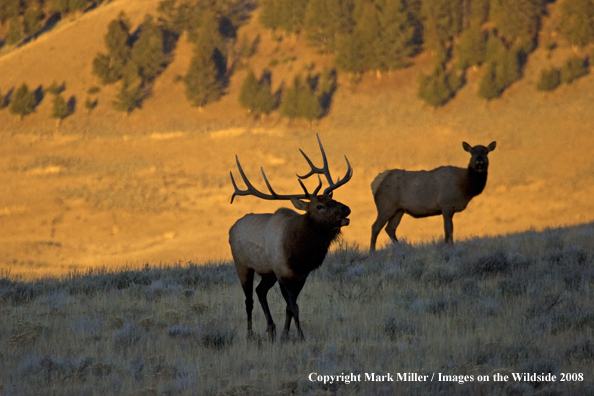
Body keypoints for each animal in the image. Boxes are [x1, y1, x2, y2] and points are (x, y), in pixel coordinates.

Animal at [229, 136, 352, 340]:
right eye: (319, 206)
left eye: (332, 199)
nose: (346, 209)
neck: (300, 253)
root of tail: (232, 228)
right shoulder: (282, 273)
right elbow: (293, 307)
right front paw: (300, 336)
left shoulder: (300, 275)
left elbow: (289, 307)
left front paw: (285, 335)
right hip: (243, 265)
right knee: (249, 299)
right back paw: (250, 334)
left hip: (267, 272)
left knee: (260, 291)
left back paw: (271, 328)